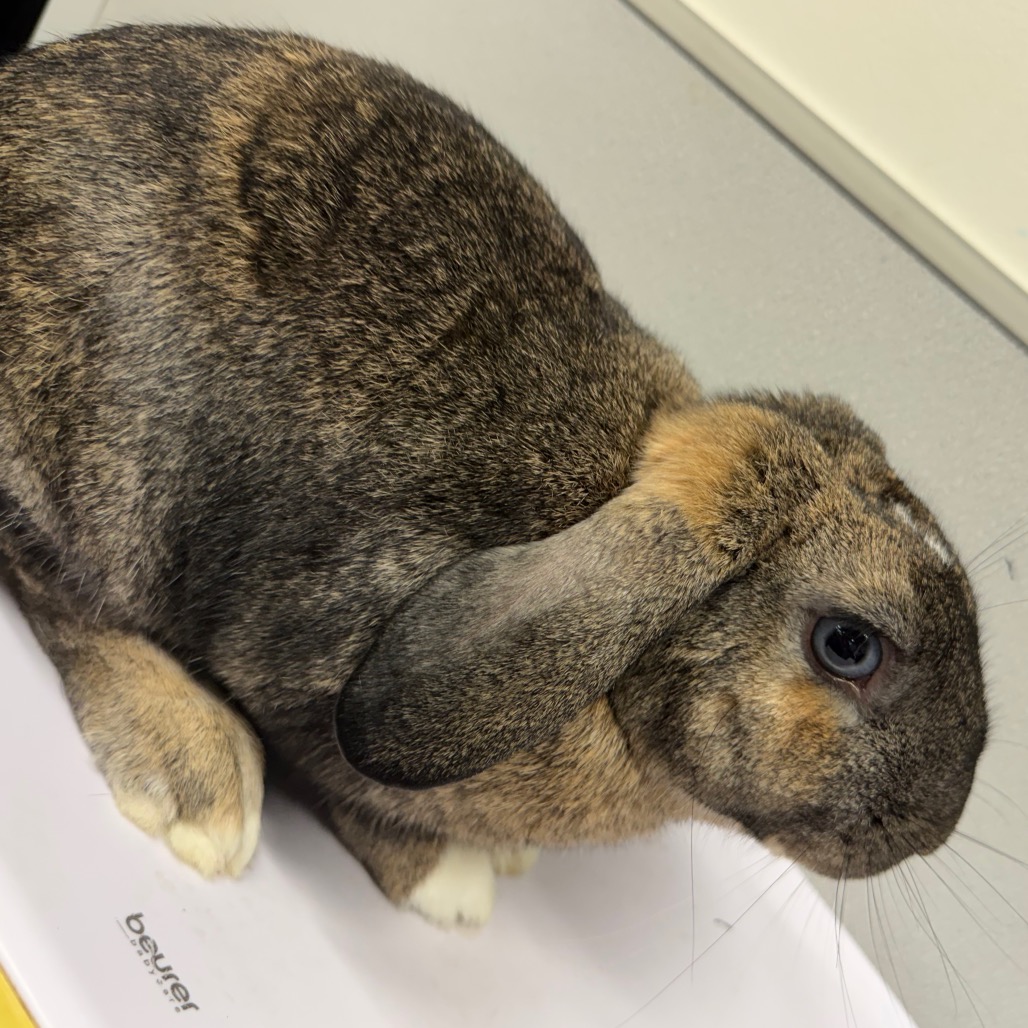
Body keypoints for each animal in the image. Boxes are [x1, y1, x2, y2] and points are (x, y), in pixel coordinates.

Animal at [0, 24, 987, 929]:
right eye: (847, 646)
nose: (929, 829)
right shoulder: (304, 657)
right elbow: (347, 790)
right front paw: (453, 886)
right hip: (97, 461)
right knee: (59, 593)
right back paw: (201, 785)